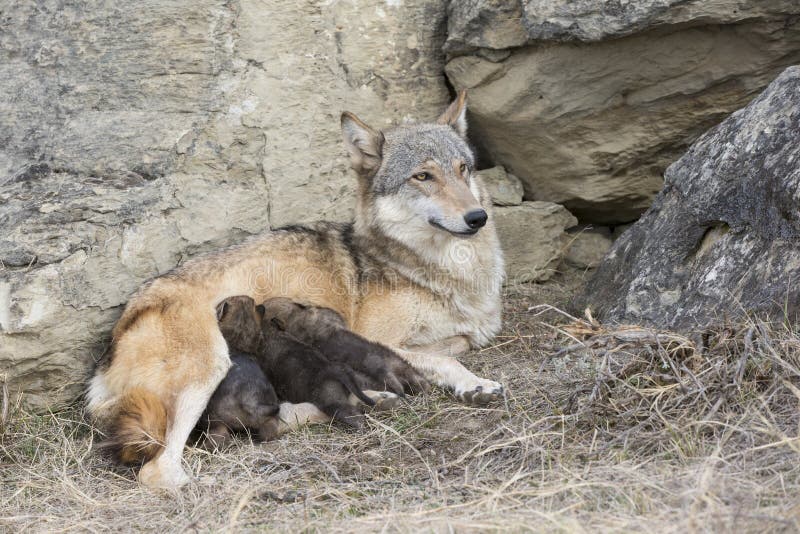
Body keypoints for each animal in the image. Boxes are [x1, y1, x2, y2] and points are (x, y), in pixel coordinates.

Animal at [87, 92, 506, 490]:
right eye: (423, 176)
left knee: (279, 416)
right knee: (158, 468)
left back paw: (368, 401)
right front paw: (475, 383)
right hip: (209, 365)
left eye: (463, 169)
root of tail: (115, 338)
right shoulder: (377, 337)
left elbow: (452, 348)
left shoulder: (465, 335)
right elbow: (445, 361)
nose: (477, 217)